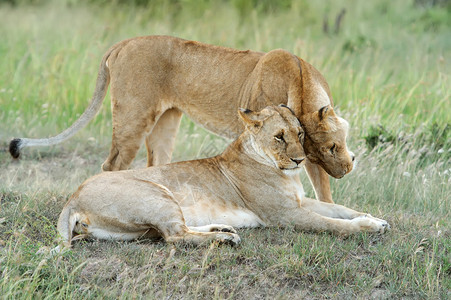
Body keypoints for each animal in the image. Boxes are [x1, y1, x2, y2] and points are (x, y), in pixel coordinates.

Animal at [9, 35, 356, 204]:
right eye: (331, 148)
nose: (345, 170)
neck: (300, 81)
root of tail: (123, 42)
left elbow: (322, 190)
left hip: (166, 121)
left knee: (155, 166)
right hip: (134, 117)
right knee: (113, 165)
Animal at [56, 105, 388, 251]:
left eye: (300, 134)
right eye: (279, 137)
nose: (299, 160)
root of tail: (73, 198)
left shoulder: (299, 201)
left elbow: (340, 209)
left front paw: (374, 218)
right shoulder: (285, 214)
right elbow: (333, 224)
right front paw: (367, 228)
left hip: (135, 228)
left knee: (168, 232)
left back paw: (222, 228)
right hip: (158, 194)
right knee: (175, 235)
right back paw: (225, 237)